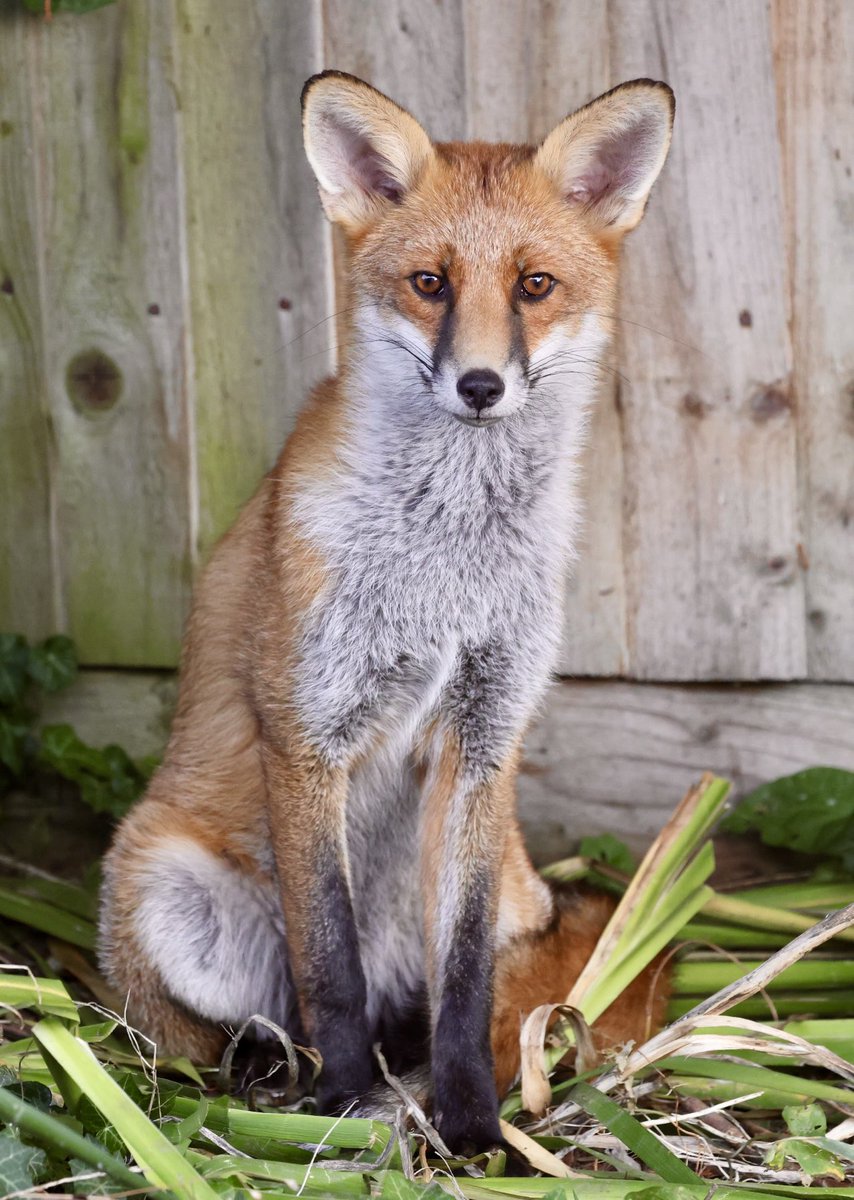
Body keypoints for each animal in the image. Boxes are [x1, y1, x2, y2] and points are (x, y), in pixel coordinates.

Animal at [99, 71, 675, 1156]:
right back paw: (274, 1076)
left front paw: (473, 1121)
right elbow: (329, 959)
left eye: (535, 286)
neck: (447, 565)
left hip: (491, 875)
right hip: (162, 887)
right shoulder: (308, 730)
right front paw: (344, 1099)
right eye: (430, 283)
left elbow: (468, 983)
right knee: (248, 1017)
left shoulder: (482, 737)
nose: (480, 385)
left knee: (448, 983)